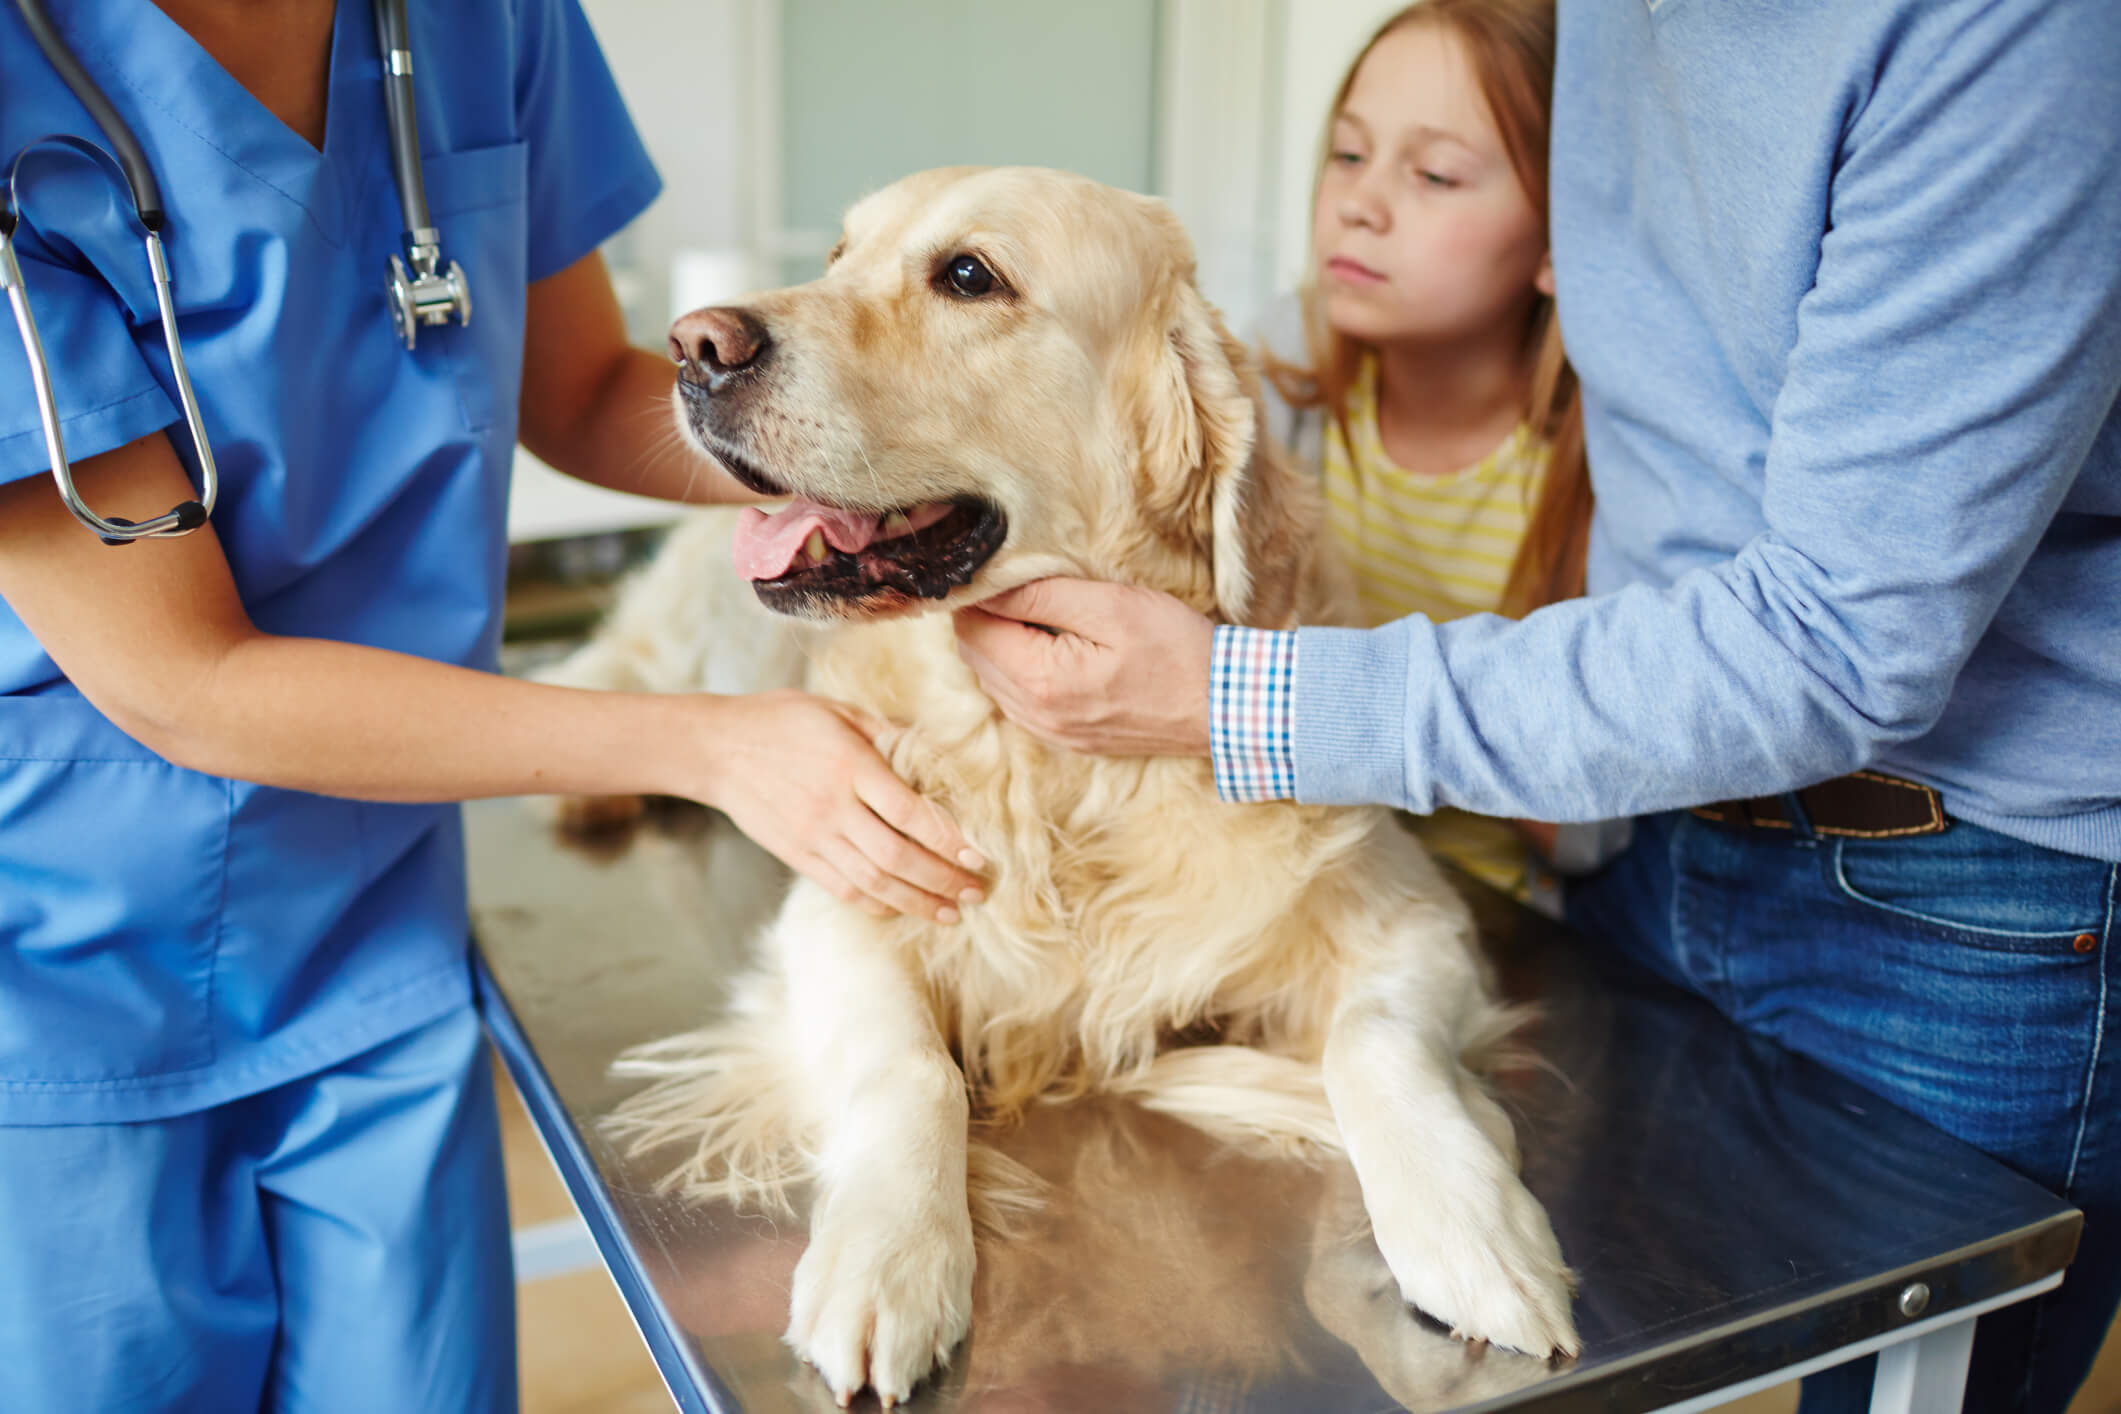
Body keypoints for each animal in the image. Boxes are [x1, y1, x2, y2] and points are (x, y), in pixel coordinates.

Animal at [555, 166, 1586, 1407]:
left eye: (968, 275)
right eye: (842, 253)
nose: (693, 345)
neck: (1062, 774)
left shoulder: (1413, 914)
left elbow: (1374, 1043)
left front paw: (1475, 1236)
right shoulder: (842, 898)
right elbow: (911, 1069)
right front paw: (889, 1260)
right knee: (607, 667)